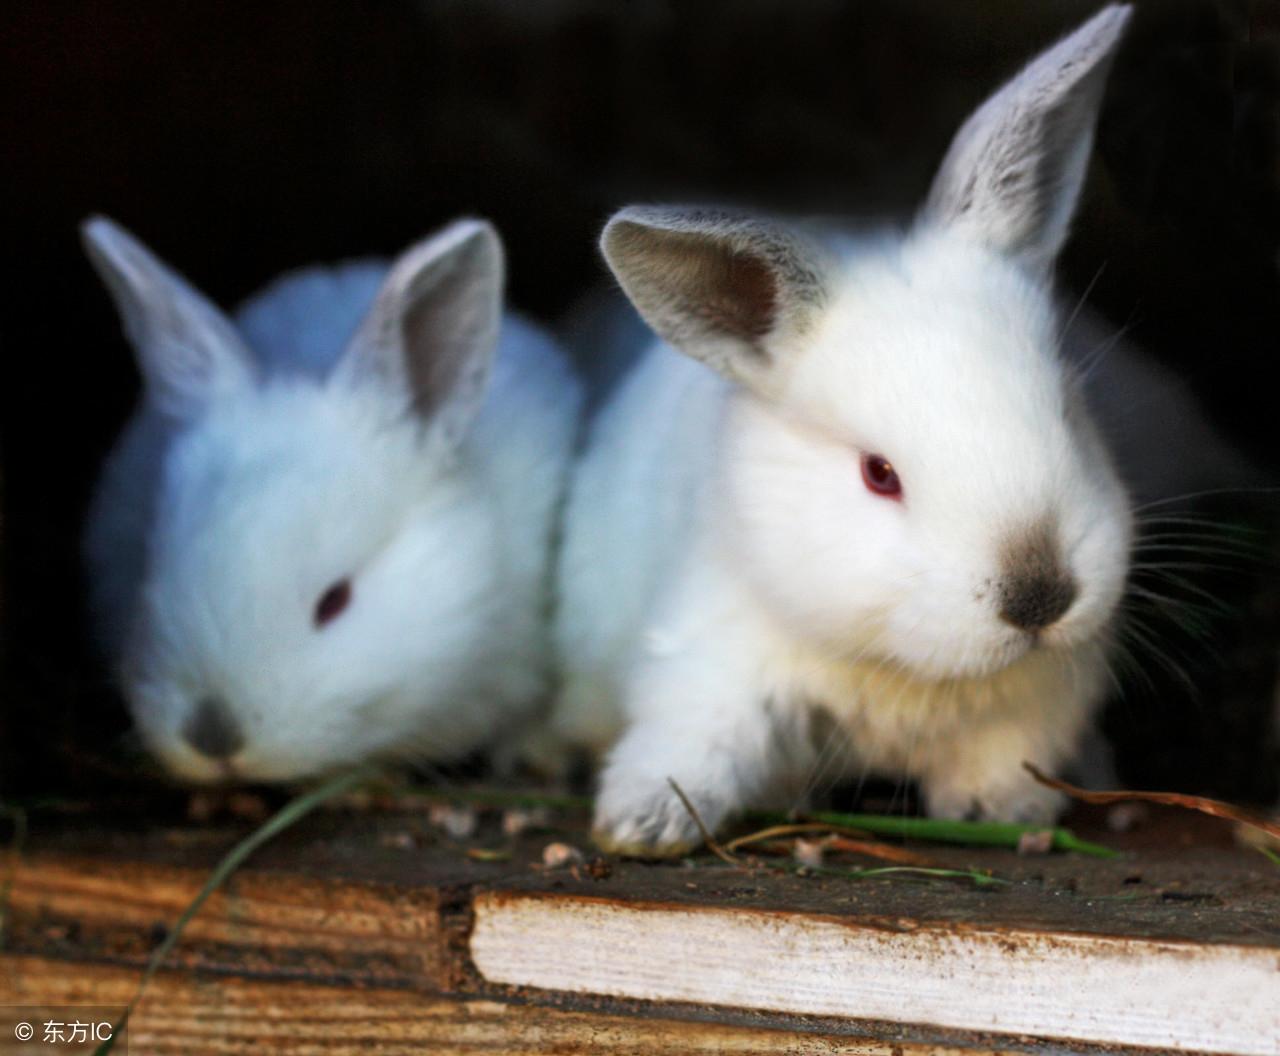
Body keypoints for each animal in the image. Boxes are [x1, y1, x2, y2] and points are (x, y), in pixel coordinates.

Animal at [555, 4, 1136, 855]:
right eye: (878, 473)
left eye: (1066, 409)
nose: (1040, 596)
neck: (906, 664)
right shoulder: (709, 663)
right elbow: (692, 741)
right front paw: (643, 822)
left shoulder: (1039, 702)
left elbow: (1004, 756)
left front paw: (1002, 811)